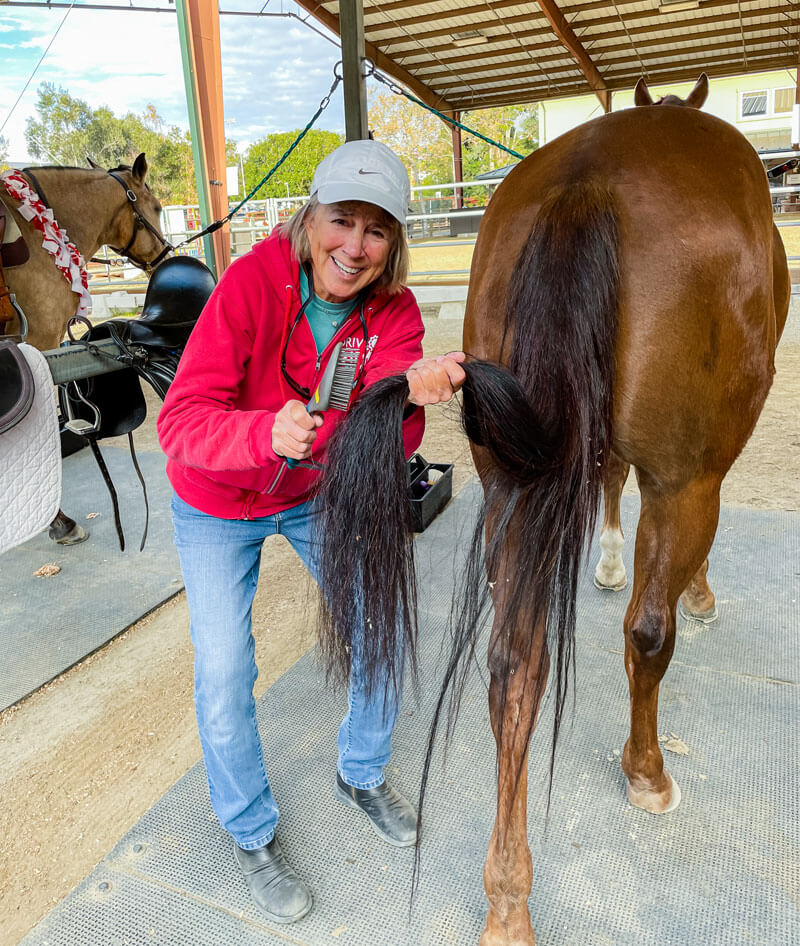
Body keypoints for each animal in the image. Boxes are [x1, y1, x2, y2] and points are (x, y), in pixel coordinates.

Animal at [313, 74, 789, 945]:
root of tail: (589, 178)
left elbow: (605, 480)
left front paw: (606, 560)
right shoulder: (696, 474)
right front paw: (697, 592)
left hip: (511, 484)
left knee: (513, 668)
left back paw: (508, 895)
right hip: (681, 481)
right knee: (647, 633)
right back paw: (647, 770)